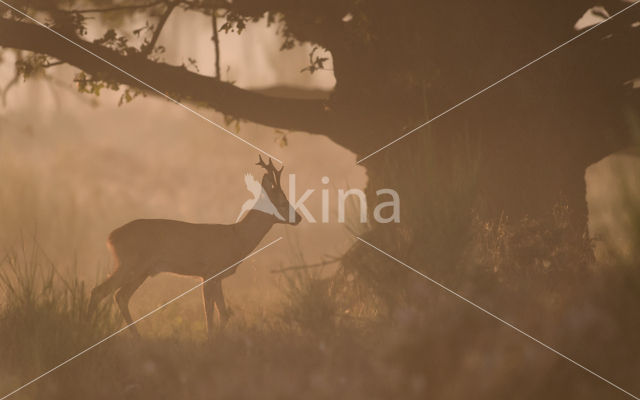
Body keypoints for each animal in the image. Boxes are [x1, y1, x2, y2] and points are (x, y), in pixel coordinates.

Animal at [87, 155, 302, 336]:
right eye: (283, 201)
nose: (298, 218)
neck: (237, 238)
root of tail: (111, 237)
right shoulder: (209, 272)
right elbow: (210, 314)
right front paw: (210, 339)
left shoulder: (217, 277)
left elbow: (224, 313)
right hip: (131, 263)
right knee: (100, 291)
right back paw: (91, 330)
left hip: (141, 271)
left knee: (120, 296)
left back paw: (136, 337)